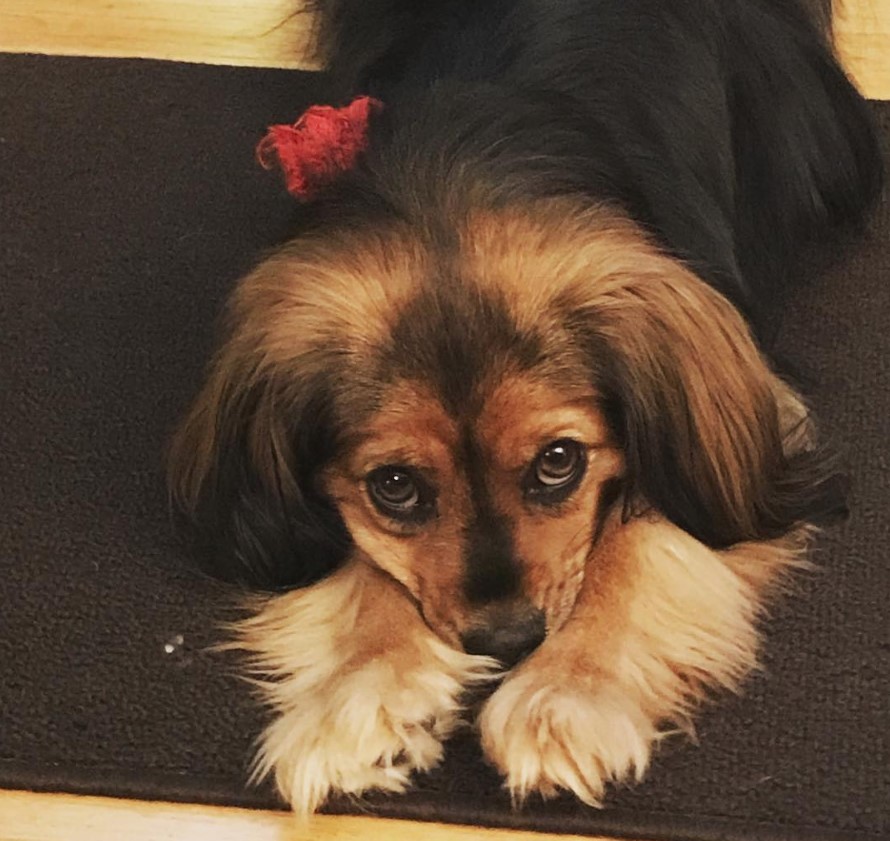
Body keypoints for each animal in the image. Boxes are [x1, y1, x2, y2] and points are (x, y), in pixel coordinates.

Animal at [168, 0, 880, 816]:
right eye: (393, 485)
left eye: (559, 461)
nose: (508, 640)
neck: (454, 174)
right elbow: (364, 562)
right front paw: (361, 689)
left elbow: (637, 538)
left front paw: (565, 694)